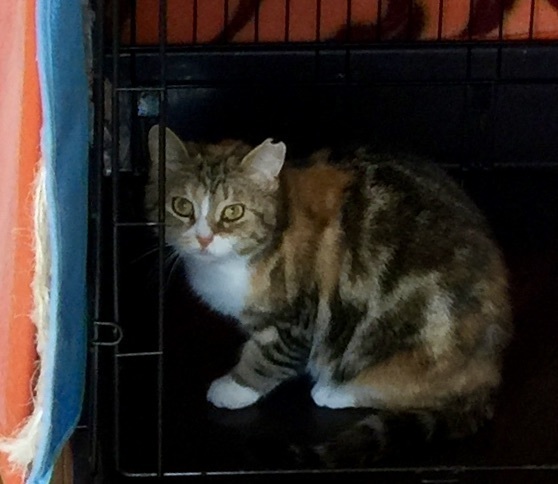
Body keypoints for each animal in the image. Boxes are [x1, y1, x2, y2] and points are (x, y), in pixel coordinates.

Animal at [145, 125, 512, 467]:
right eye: (182, 206)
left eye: (233, 211)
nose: (204, 238)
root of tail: (488, 372)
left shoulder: (296, 317)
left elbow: (270, 356)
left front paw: (235, 387)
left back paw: (335, 390)